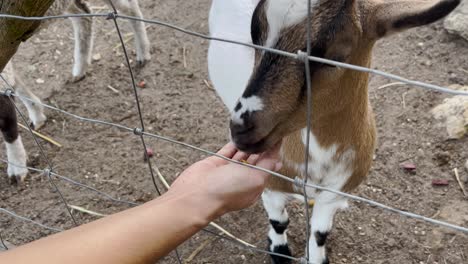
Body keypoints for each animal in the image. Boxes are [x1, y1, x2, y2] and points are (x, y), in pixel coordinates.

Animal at [0, 0, 150, 182]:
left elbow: (8, 130)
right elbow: (15, 82)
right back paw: (80, 68)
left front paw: (17, 169)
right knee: (84, 14)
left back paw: (143, 52)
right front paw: (36, 112)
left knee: (130, 7)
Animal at [210, 0, 458, 262]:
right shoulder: (270, 184)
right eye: (255, 34)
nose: (241, 129)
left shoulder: (335, 192)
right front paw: (279, 251)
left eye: (333, 56)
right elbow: (279, 221)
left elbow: (320, 233)